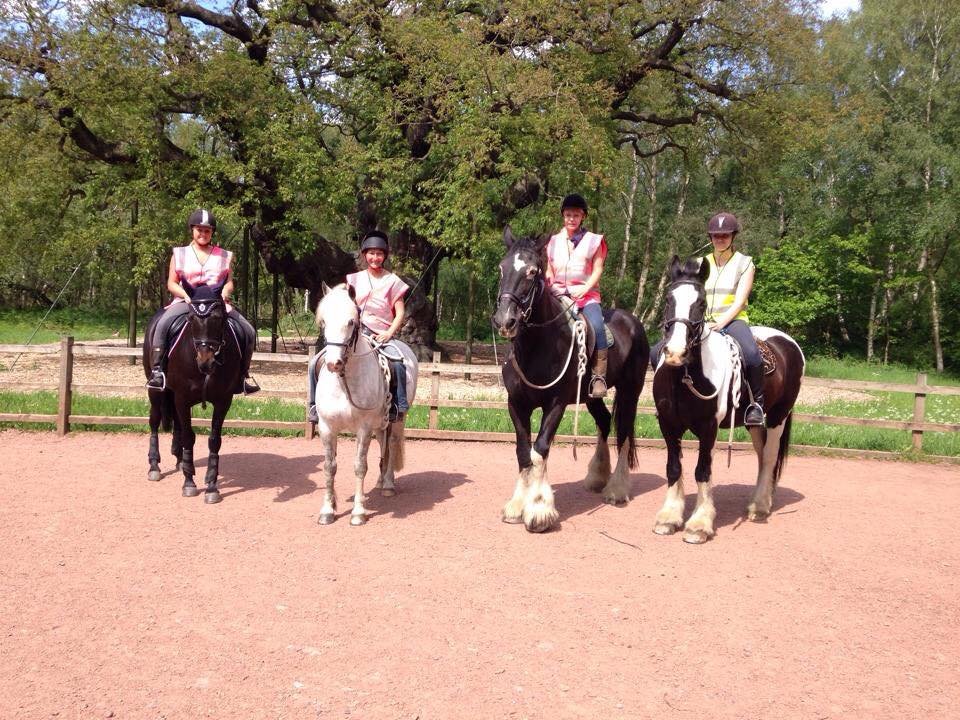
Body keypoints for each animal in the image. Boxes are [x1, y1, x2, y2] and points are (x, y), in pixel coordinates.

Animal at [143, 281, 244, 504]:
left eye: (219, 317)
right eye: (191, 318)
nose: (206, 361)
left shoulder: (223, 400)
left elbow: (214, 441)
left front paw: (212, 486)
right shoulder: (182, 398)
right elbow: (189, 437)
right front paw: (189, 484)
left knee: (178, 426)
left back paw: (181, 461)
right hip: (157, 393)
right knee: (154, 421)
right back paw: (154, 466)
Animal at [312, 283, 419, 526]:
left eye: (351, 321)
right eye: (323, 322)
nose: (333, 363)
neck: (344, 384)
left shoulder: (364, 428)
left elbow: (360, 467)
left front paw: (358, 512)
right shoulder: (326, 427)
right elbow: (329, 467)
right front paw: (328, 510)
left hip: (397, 420)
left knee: (392, 444)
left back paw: (387, 484)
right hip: (380, 425)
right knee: (383, 445)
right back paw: (380, 481)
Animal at [492, 227, 650, 533]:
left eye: (532, 272)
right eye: (501, 268)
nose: (505, 321)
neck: (538, 346)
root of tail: (634, 322)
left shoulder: (555, 405)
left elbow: (540, 448)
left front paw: (539, 510)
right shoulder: (516, 403)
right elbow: (523, 451)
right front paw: (517, 506)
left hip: (630, 392)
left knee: (623, 432)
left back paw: (616, 490)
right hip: (591, 396)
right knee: (604, 422)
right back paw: (597, 477)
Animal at [651, 255, 805, 543]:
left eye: (701, 303)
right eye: (668, 299)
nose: (676, 353)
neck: (685, 377)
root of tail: (789, 342)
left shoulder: (708, 427)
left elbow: (702, 470)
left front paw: (698, 524)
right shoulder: (668, 424)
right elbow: (673, 468)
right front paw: (668, 518)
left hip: (778, 416)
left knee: (769, 456)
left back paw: (759, 507)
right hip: (754, 422)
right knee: (761, 455)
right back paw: (760, 499)